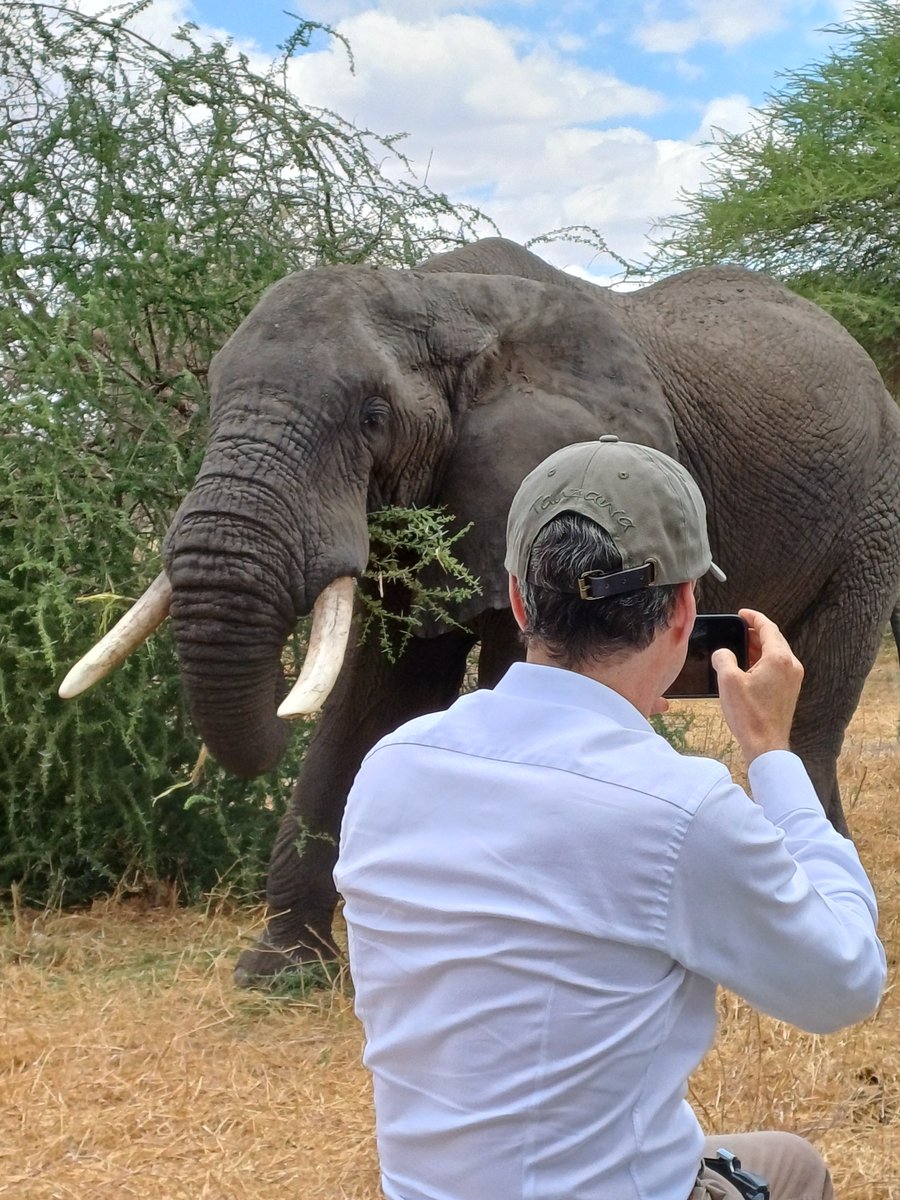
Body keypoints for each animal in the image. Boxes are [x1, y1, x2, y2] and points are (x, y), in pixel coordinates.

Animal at [61, 237, 900, 986]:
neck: (439, 303)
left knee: (814, 715)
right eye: (209, 403)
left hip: (870, 522)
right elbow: (378, 698)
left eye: (371, 416)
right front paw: (281, 973)